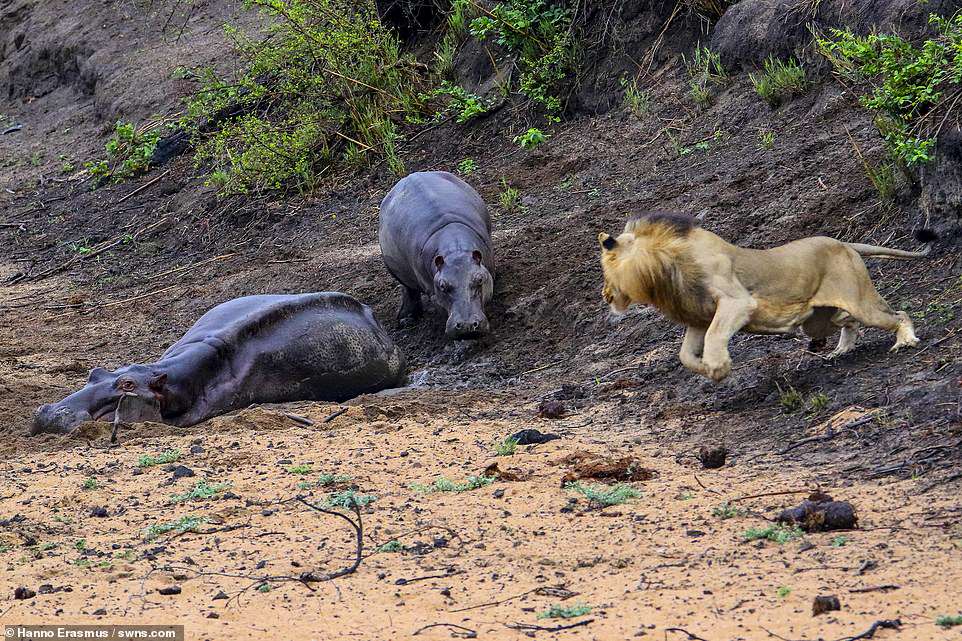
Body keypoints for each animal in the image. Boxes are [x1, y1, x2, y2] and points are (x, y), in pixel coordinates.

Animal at [376, 170, 496, 340]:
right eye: (442, 285)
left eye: (479, 279)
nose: (466, 325)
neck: (455, 251)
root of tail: (409, 176)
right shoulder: (432, 290)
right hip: (395, 270)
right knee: (408, 289)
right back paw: (406, 319)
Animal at [596, 212, 932, 380]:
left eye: (606, 271)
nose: (605, 295)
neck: (664, 268)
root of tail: (844, 243)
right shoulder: (698, 317)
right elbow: (684, 355)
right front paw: (709, 370)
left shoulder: (737, 302)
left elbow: (716, 336)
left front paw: (719, 367)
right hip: (818, 319)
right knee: (848, 322)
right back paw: (841, 350)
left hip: (859, 300)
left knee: (896, 314)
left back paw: (905, 341)